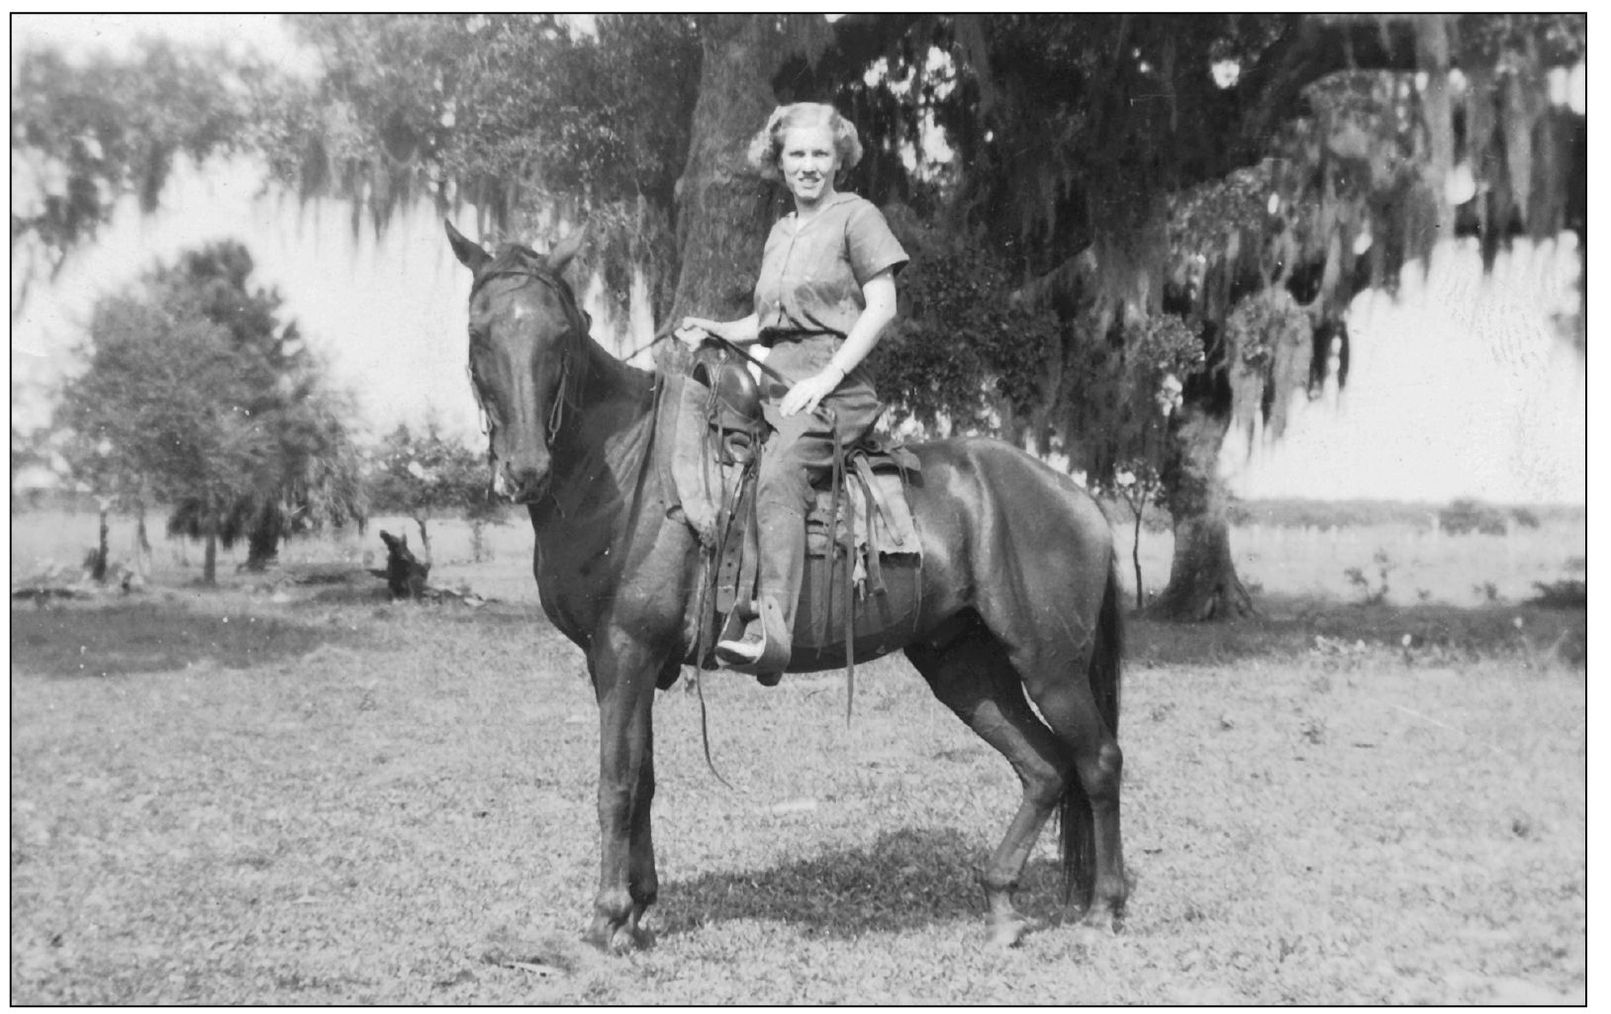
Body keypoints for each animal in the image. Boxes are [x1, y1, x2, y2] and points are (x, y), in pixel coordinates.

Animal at [441, 219, 1121, 947]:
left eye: (561, 332)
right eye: (477, 331)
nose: (524, 469)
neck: (623, 470)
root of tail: (1077, 498)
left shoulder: (624, 652)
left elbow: (616, 784)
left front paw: (607, 919)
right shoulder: (619, 662)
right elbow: (644, 781)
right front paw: (640, 907)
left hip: (1050, 664)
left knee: (1096, 762)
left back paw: (1104, 907)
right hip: (963, 664)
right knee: (1043, 768)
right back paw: (1001, 907)